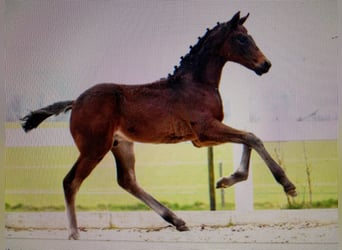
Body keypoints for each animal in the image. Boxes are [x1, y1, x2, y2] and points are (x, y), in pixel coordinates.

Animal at [21, 12, 296, 240]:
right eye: (241, 39)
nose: (265, 64)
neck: (195, 83)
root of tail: (76, 101)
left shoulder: (202, 139)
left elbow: (247, 138)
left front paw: (226, 180)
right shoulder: (206, 130)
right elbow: (252, 137)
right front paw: (287, 185)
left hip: (121, 145)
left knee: (127, 181)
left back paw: (177, 220)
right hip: (94, 148)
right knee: (71, 182)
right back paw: (74, 233)